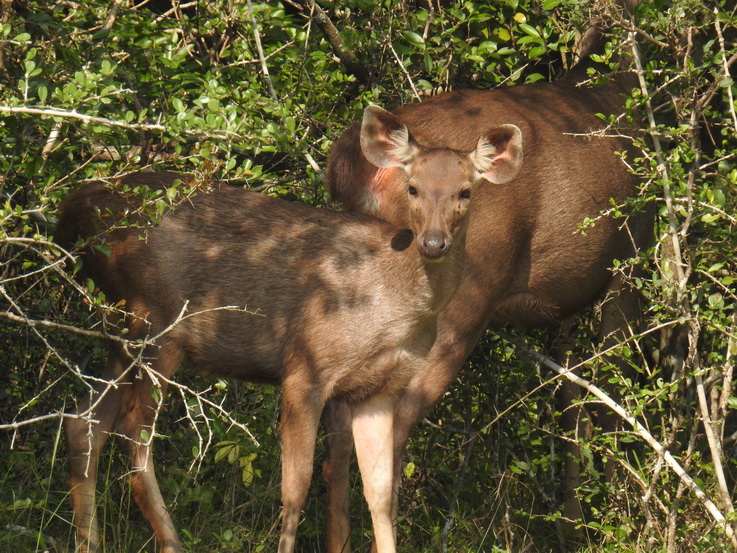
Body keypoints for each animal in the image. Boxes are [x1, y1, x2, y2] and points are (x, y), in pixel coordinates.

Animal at [59, 104, 524, 552]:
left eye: (465, 191)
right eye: (413, 187)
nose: (432, 242)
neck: (394, 310)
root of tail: (73, 209)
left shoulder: (378, 390)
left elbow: (379, 494)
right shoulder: (306, 366)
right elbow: (295, 488)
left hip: (123, 331)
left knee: (84, 421)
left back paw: (89, 542)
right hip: (154, 322)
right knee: (132, 430)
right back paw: (170, 542)